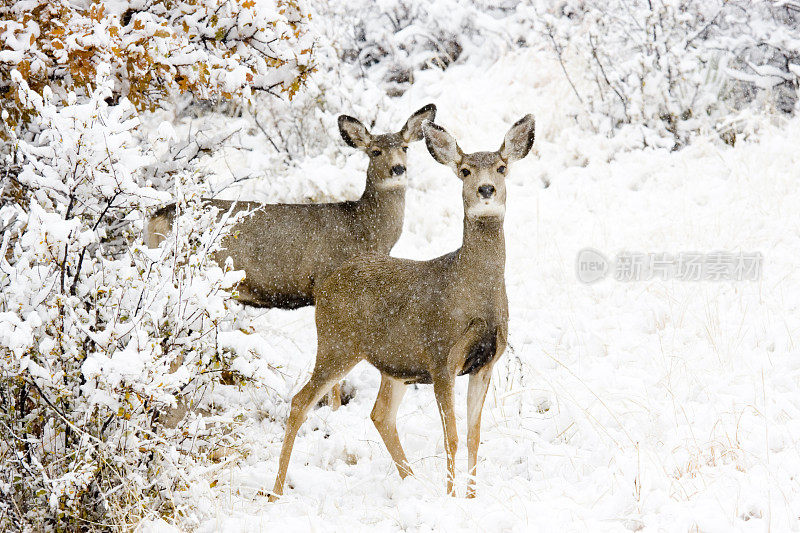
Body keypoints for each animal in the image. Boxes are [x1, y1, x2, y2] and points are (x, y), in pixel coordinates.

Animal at [148, 105, 438, 408]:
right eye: (375, 151)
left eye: (405, 147)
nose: (398, 168)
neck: (364, 230)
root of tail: (159, 216)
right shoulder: (327, 284)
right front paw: (334, 408)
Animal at [266, 113, 536, 498]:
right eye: (465, 170)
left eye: (501, 167)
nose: (487, 189)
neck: (474, 293)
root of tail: (328, 284)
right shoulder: (441, 357)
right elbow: (452, 437)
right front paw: (452, 497)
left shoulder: (485, 363)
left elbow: (474, 436)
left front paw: (471, 496)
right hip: (337, 342)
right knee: (301, 401)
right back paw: (276, 491)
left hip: (394, 363)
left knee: (380, 414)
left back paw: (412, 483)